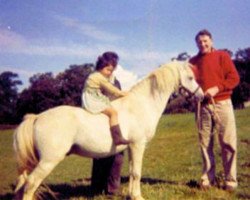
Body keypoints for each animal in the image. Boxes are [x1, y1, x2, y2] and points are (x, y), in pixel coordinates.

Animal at [13, 61, 203, 200]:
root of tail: (37, 117)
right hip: (48, 161)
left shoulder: (131, 147)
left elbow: (132, 172)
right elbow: (136, 173)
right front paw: (138, 196)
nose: (201, 95)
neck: (141, 105)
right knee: (30, 184)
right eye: (190, 77)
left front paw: (131, 195)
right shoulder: (138, 145)